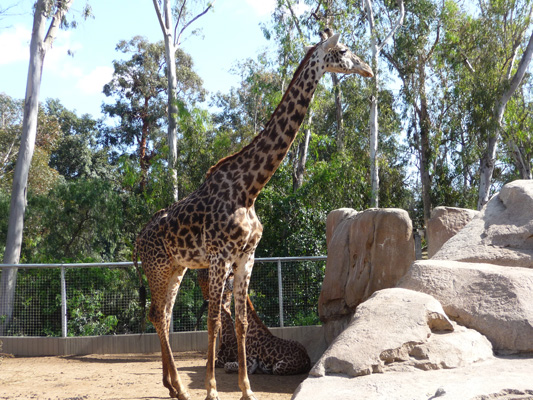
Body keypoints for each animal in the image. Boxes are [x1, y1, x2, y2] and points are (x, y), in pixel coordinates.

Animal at [135, 30, 372, 400]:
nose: (368, 69)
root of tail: (137, 240)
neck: (250, 188)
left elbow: (243, 321)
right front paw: (212, 390)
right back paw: (182, 389)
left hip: (176, 268)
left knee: (163, 314)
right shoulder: (219, 256)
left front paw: (247, 390)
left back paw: (174, 387)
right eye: (345, 50)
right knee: (159, 314)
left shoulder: (248, 255)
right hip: (157, 267)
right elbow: (215, 320)